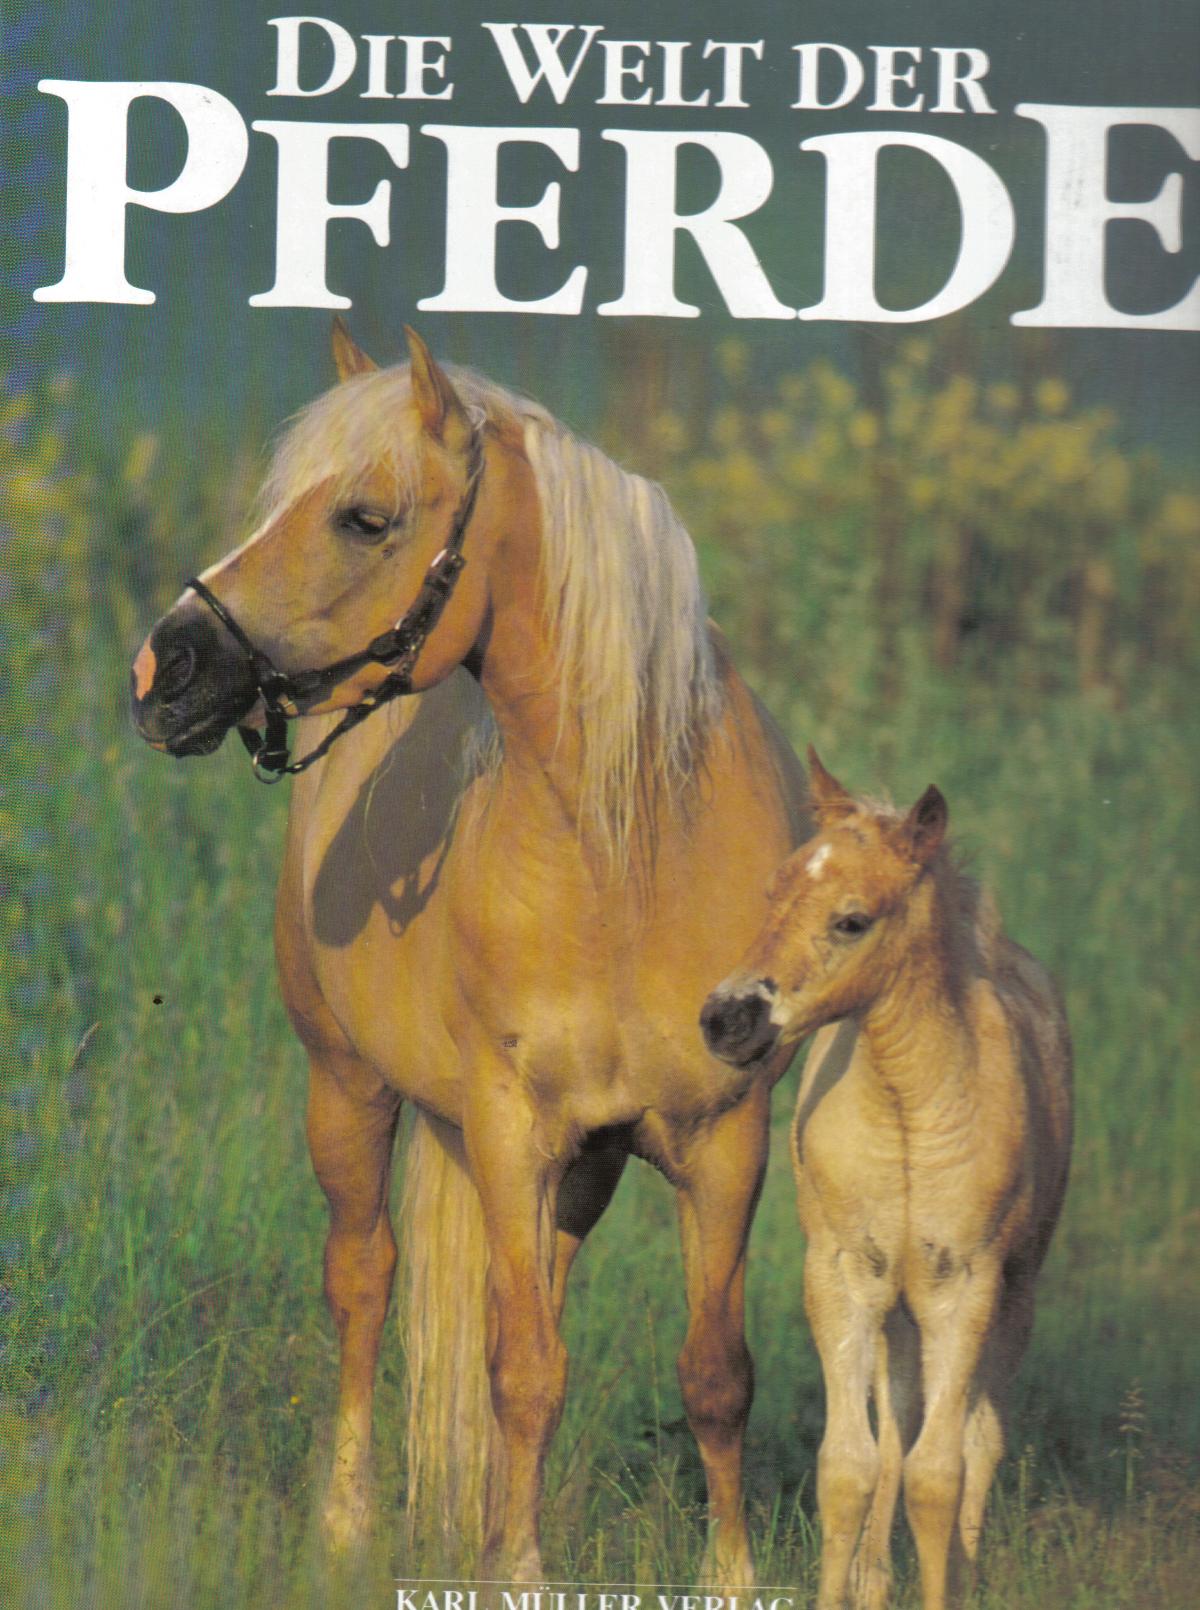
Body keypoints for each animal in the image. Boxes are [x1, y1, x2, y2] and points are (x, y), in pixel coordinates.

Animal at [130, 323, 808, 1584]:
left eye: (366, 517)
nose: (163, 673)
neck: (630, 850)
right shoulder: (508, 1126)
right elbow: (522, 1368)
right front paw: (515, 1571)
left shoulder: (723, 1140)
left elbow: (713, 1376)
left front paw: (728, 1580)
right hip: (348, 1089)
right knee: (366, 1280)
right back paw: (347, 1522)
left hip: (577, 1169)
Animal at [700, 751, 1072, 1610]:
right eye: (772, 890)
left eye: (851, 920)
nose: (725, 1019)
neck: (905, 1101)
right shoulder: (842, 1276)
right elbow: (851, 1468)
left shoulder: (963, 1285)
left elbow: (940, 1474)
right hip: (896, 1311)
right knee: (896, 1429)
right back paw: (874, 1579)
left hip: (1009, 1297)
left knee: (977, 1437)